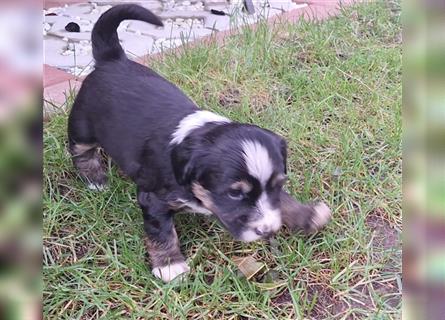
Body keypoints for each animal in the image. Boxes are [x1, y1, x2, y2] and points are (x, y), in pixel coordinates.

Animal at [67, 3, 328, 282]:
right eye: (234, 193)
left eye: (279, 184)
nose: (268, 230)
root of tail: (112, 59)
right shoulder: (153, 198)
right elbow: (161, 231)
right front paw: (170, 266)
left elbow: (283, 200)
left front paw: (308, 215)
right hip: (82, 126)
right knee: (80, 151)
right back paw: (95, 178)